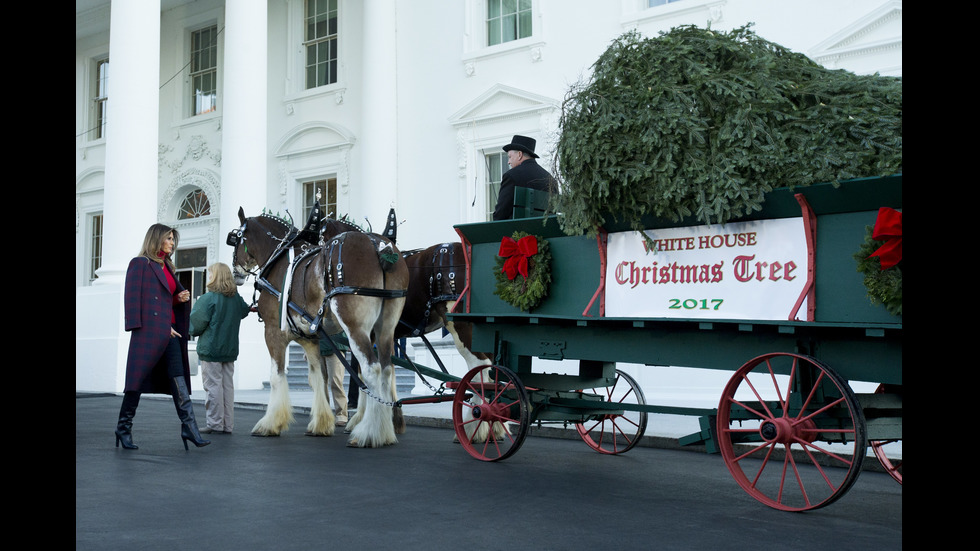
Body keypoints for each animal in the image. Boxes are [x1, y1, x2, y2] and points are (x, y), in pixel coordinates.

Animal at [228, 208, 408, 448]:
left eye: (235, 239)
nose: (235, 273)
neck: (279, 260)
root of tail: (379, 247)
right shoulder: (309, 339)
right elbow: (318, 378)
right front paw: (321, 424)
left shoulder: (273, 332)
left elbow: (276, 375)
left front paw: (270, 423)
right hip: (385, 328)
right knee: (387, 369)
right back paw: (384, 430)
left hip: (355, 327)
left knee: (372, 369)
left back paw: (369, 432)